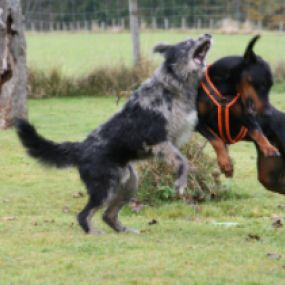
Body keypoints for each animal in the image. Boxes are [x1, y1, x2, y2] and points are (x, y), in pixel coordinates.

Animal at [15, 33, 211, 233]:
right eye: (188, 42)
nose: (207, 34)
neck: (173, 85)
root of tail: (81, 147)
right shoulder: (157, 139)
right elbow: (183, 161)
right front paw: (181, 183)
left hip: (129, 183)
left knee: (107, 215)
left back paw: (125, 231)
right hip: (105, 187)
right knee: (83, 215)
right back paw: (94, 233)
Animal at [196, 35, 278, 182]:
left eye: (270, 86)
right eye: (262, 84)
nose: (269, 113)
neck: (225, 89)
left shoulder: (245, 116)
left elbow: (257, 131)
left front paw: (268, 146)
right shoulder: (198, 121)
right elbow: (216, 140)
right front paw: (226, 163)